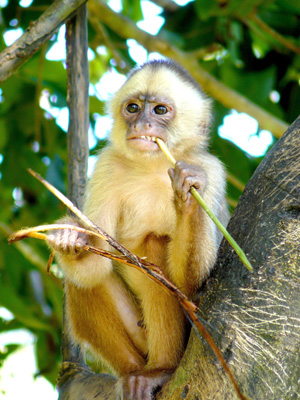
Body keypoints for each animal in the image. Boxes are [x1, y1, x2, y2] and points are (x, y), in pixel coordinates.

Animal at [48, 60, 229, 400]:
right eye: (132, 108)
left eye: (159, 110)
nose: (142, 124)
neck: (153, 166)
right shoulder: (107, 165)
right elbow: (95, 262)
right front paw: (69, 239)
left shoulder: (211, 170)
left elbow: (191, 285)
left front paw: (189, 193)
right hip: (138, 338)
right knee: (85, 280)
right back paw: (134, 371)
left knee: (156, 248)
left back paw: (162, 369)